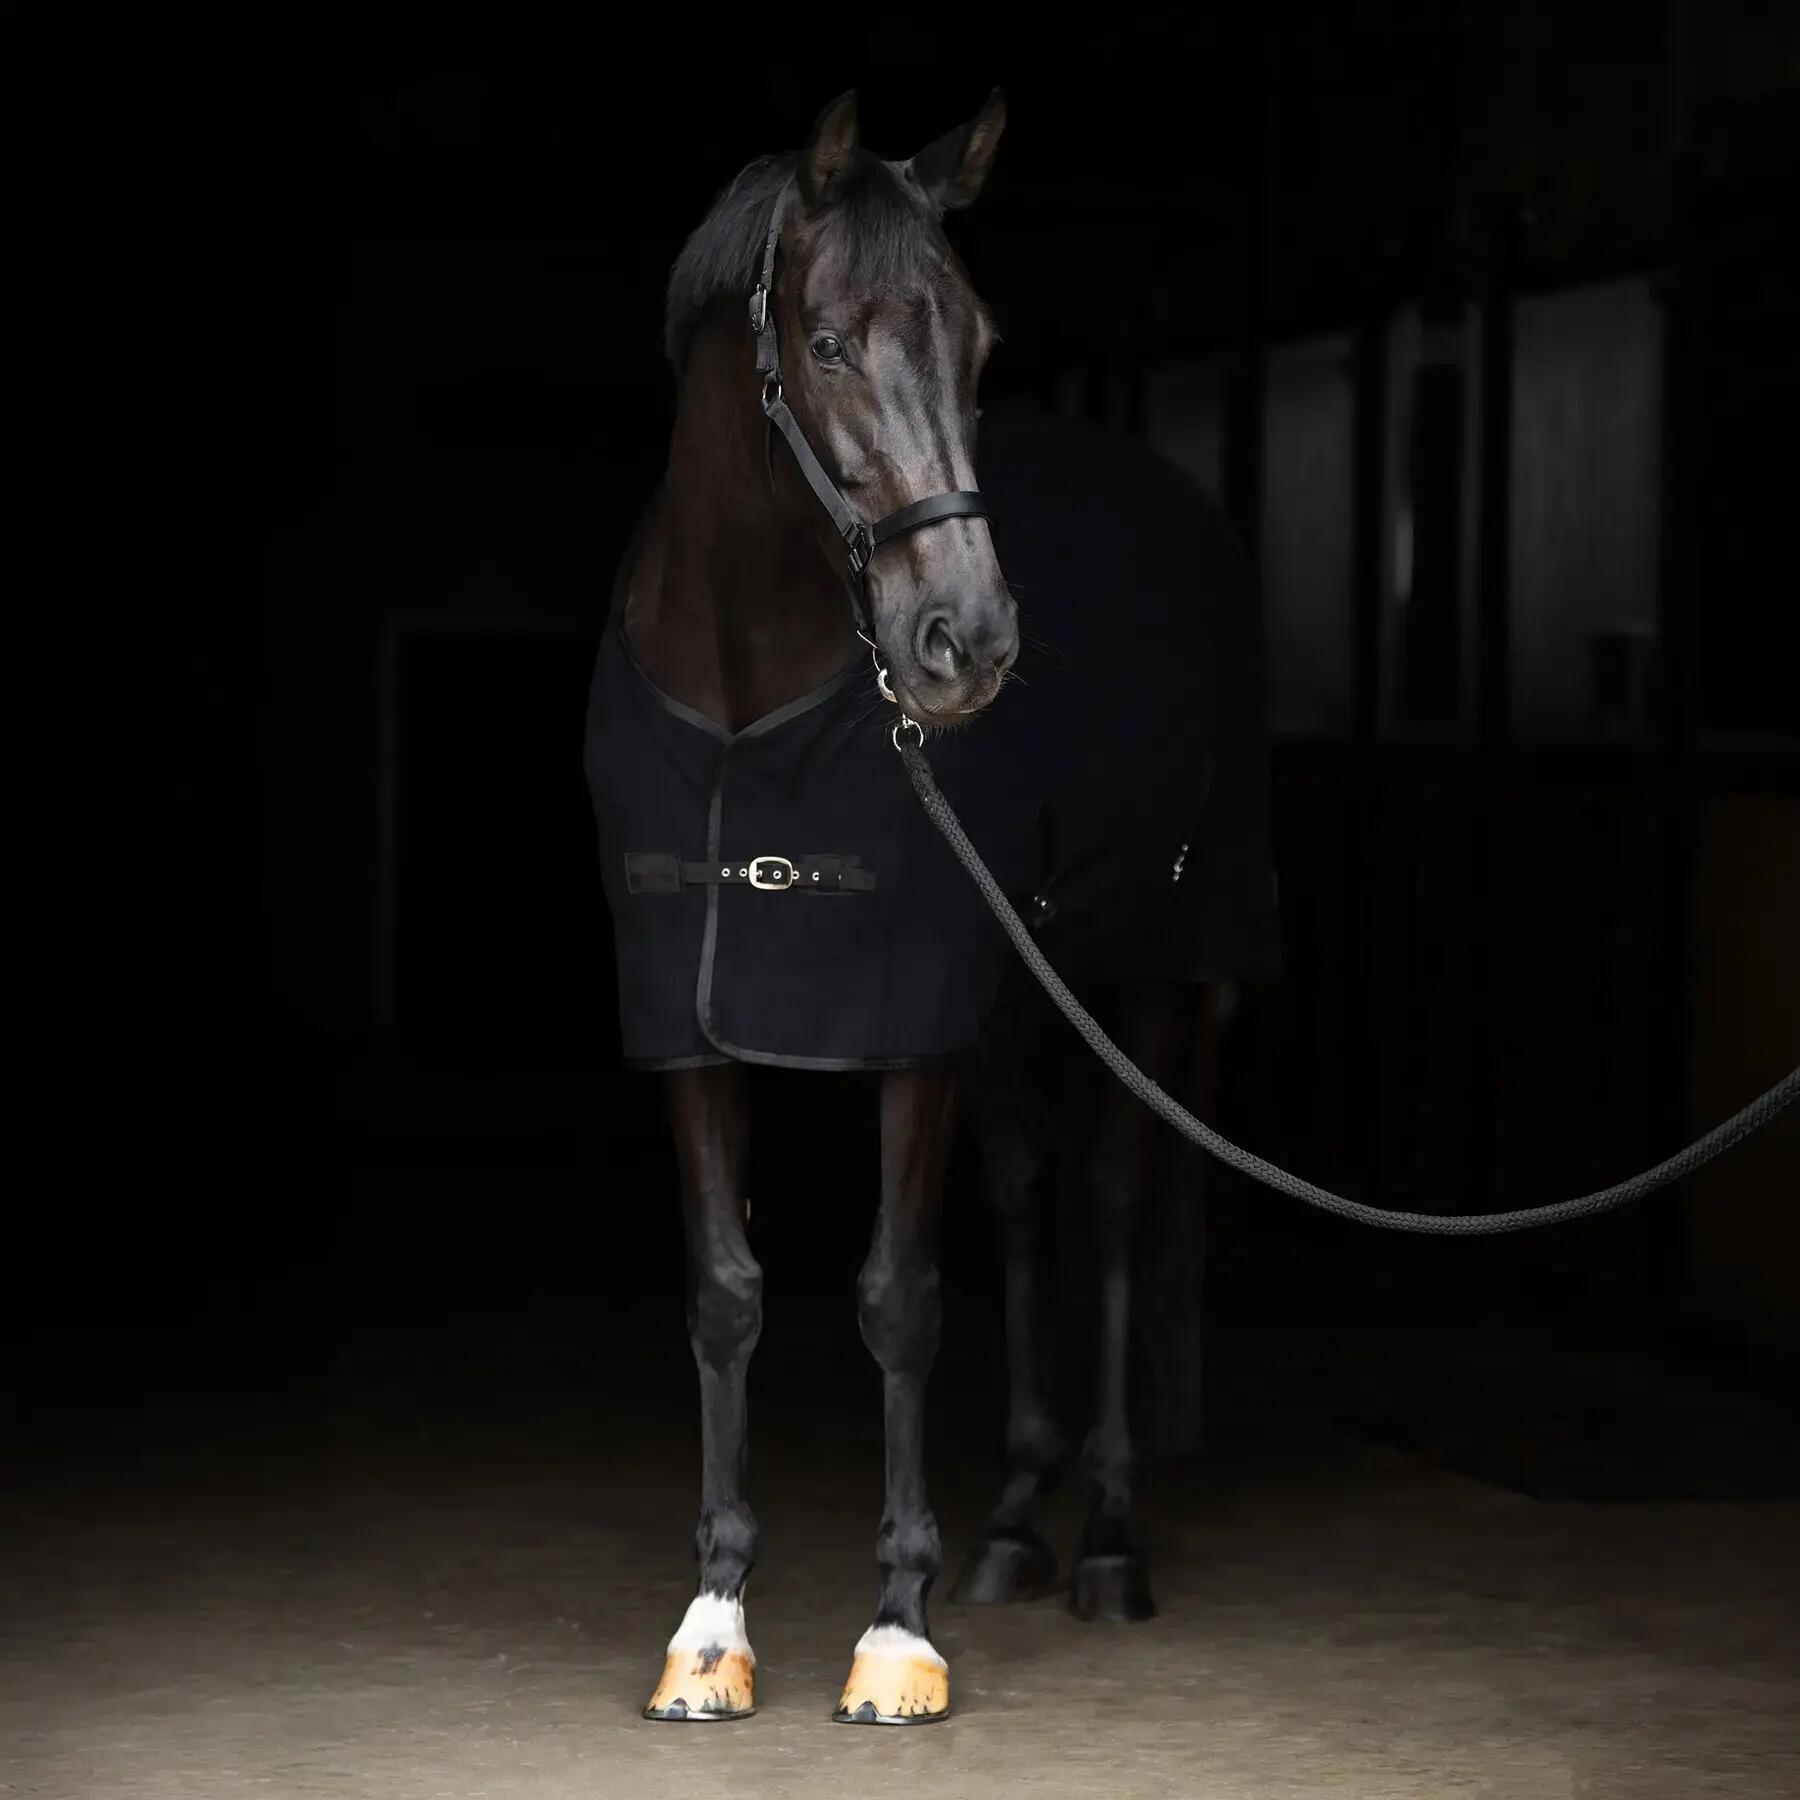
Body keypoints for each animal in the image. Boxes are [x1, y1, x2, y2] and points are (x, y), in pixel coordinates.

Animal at [584, 90, 1278, 1725]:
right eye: (830, 341)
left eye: (977, 344)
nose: (968, 641)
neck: (745, 700)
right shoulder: (687, 1016)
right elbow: (726, 1293)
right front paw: (711, 1627)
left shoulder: (910, 1020)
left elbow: (898, 1295)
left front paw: (893, 1635)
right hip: (1020, 995)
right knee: (1025, 1202)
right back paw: (1015, 1524)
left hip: (1144, 972)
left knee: (1107, 1205)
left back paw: (1105, 1540)